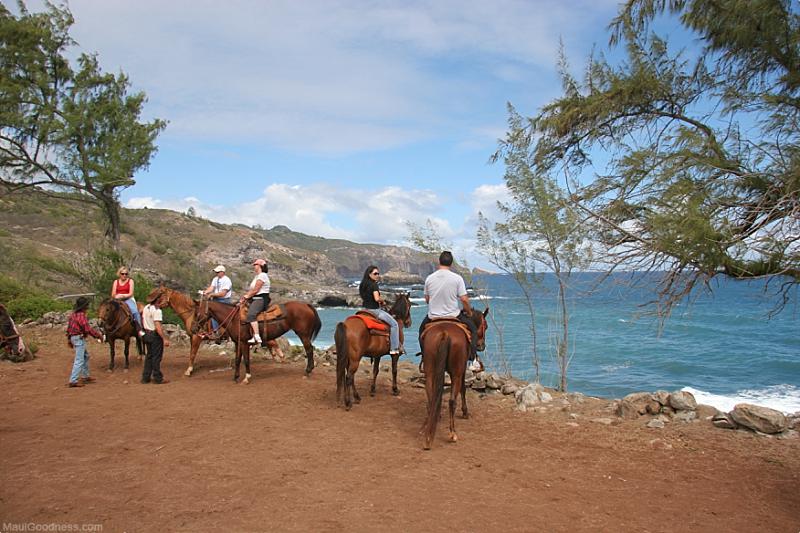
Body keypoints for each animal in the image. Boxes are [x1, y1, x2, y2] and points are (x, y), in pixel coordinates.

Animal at [418, 308, 488, 448]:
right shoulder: (461, 370)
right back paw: (452, 433)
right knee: (452, 401)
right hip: (456, 371)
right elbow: (463, 389)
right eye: (486, 326)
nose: (481, 346)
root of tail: (444, 333)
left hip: (430, 369)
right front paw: (465, 412)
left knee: (431, 395)